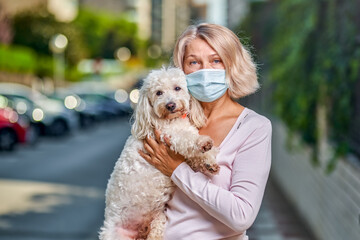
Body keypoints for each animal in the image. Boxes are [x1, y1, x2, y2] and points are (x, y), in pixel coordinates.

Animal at [100, 66, 219, 239]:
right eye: (158, 93)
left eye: (177, 88)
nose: (170, 105)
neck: (172, 119)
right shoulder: (169, 136)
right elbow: (187, 140)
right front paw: (202, 142)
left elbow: (194, 157)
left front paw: (209, 161)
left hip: (158, 219)